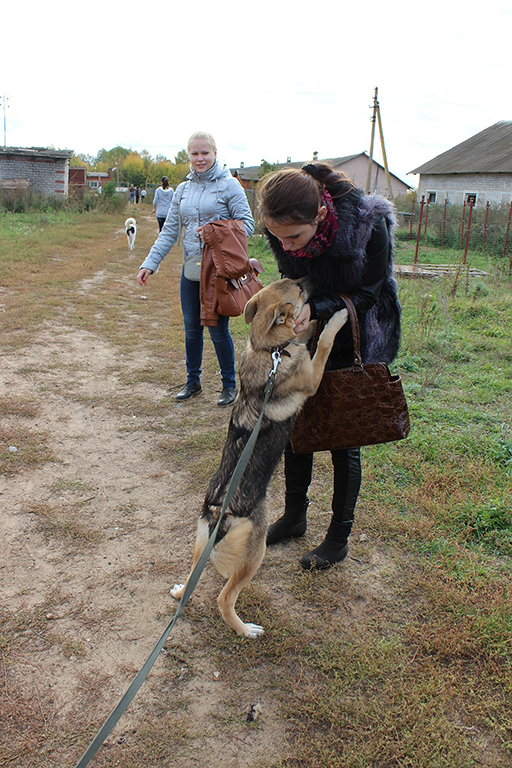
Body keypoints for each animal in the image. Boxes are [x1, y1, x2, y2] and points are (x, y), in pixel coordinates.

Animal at [169, 276, 348, 636]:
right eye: (299, 288)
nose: (311, 278)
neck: (269, 351)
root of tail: (217, 517)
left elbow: (305, 336)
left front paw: (311, 325)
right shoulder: (312, 377)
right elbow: (322, 343)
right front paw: (336, 320)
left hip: (198, 544)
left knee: (192, 575)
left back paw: (181, 591)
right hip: (256, 551)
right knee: (224, 599)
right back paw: (245, 629)